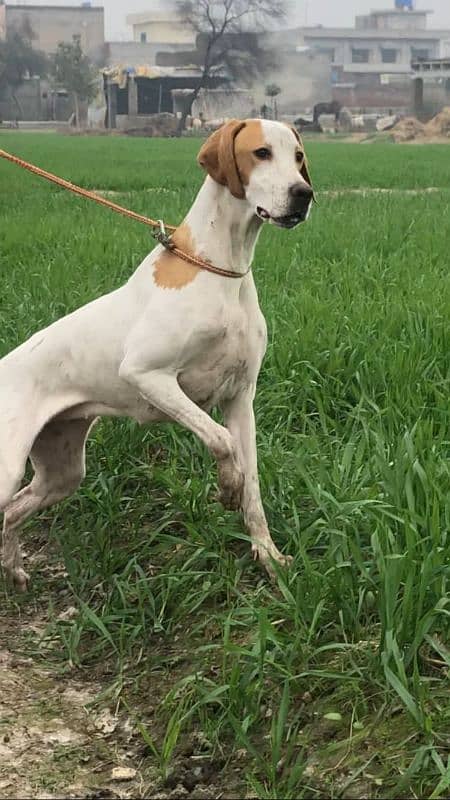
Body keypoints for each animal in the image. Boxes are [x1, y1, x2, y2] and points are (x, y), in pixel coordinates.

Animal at [0, 120, 312, 592]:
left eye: (297, 156)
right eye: (260, 152)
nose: (303, 194)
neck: (221, 270)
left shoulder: (241, 397)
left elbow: (254, 486)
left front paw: (269, 557)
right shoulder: (147, 374)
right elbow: (221, 443)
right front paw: (227, 487)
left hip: (63, 469)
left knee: (11, 514)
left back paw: (14, 569)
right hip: (9, 466)